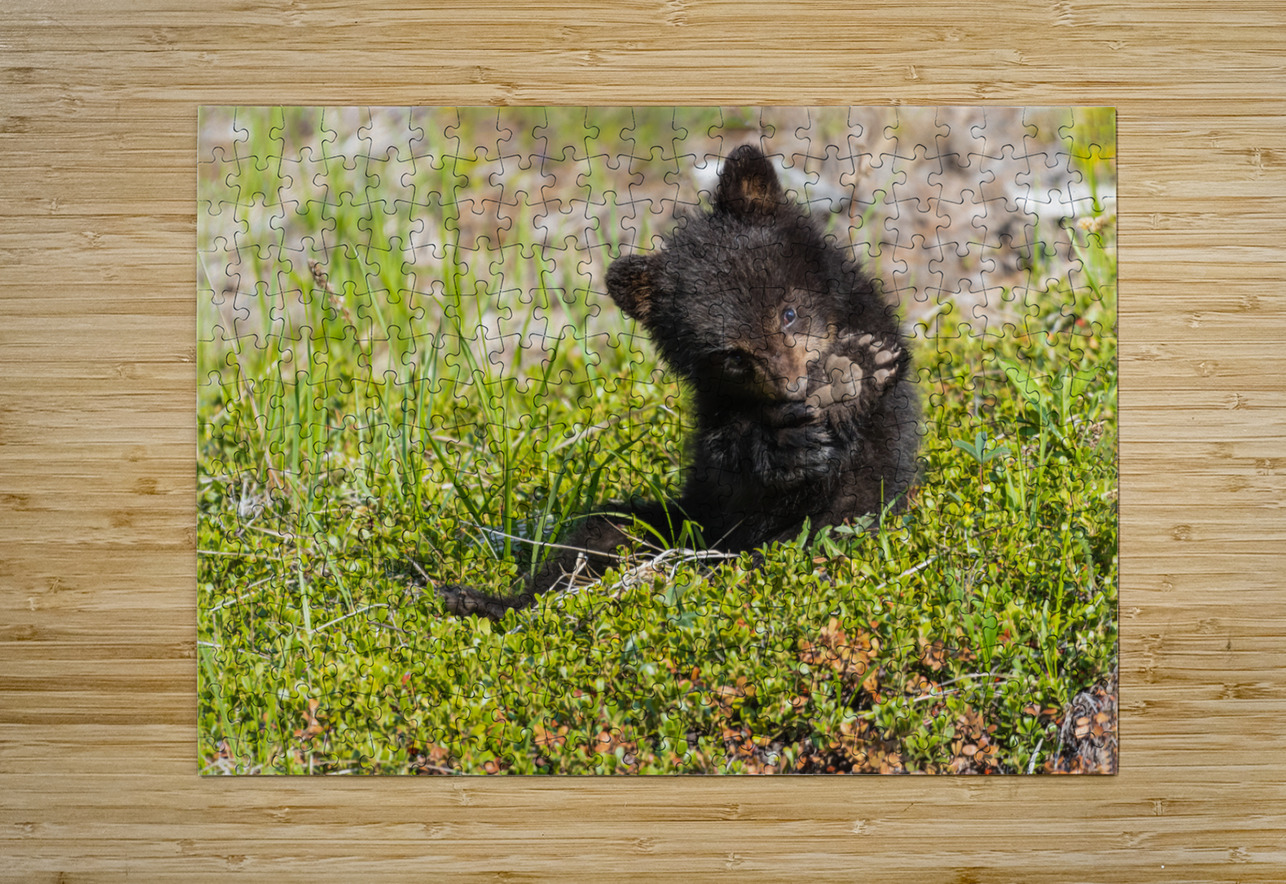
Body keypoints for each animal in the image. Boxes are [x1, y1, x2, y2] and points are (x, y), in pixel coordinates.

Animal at [438, 144, 919, 620]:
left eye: (789, 313)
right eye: (733, 357)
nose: (796, 389)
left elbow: (853, 483)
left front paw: (848, 374)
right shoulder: (717, 422)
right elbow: (733, 473)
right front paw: (793, 435)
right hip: (681, 523)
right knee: (600, 534)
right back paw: (483, 600)